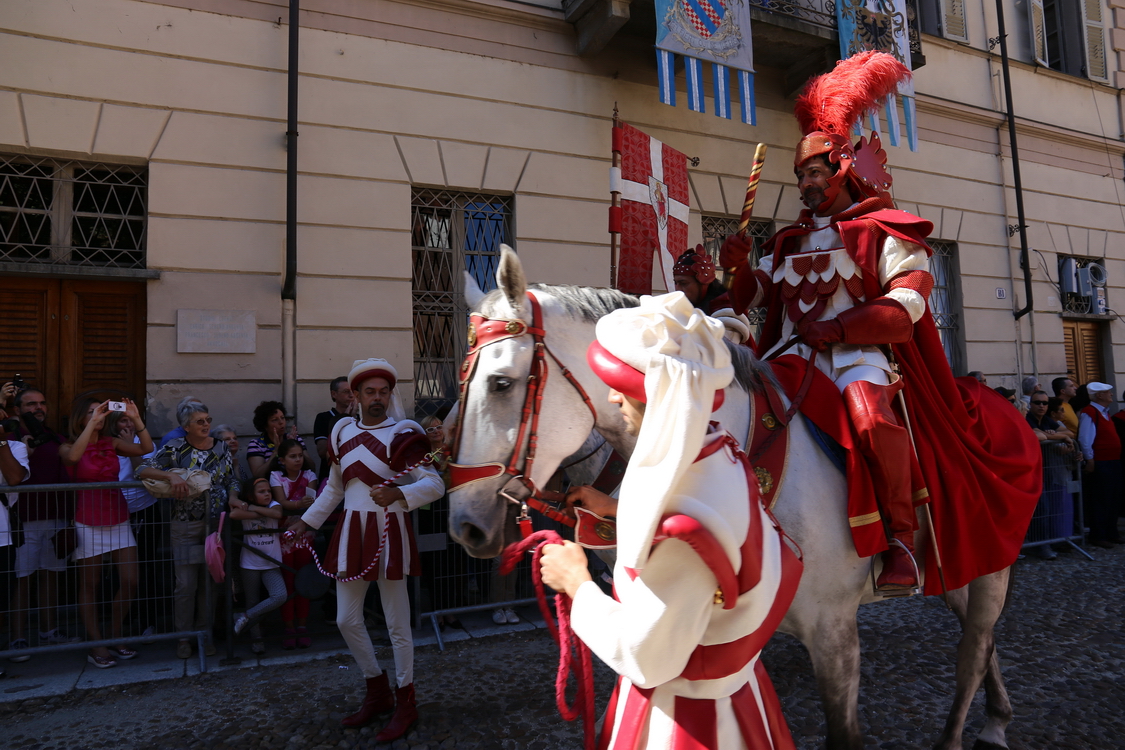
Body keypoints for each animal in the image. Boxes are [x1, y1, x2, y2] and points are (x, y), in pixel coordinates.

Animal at [447, 250, 1021, 750]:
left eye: (501, 383)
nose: (463, 525)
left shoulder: (833, 633)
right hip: (959, 564)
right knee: (984, 639)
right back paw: (997, 717)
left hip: (992, 566)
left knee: (974, 649)